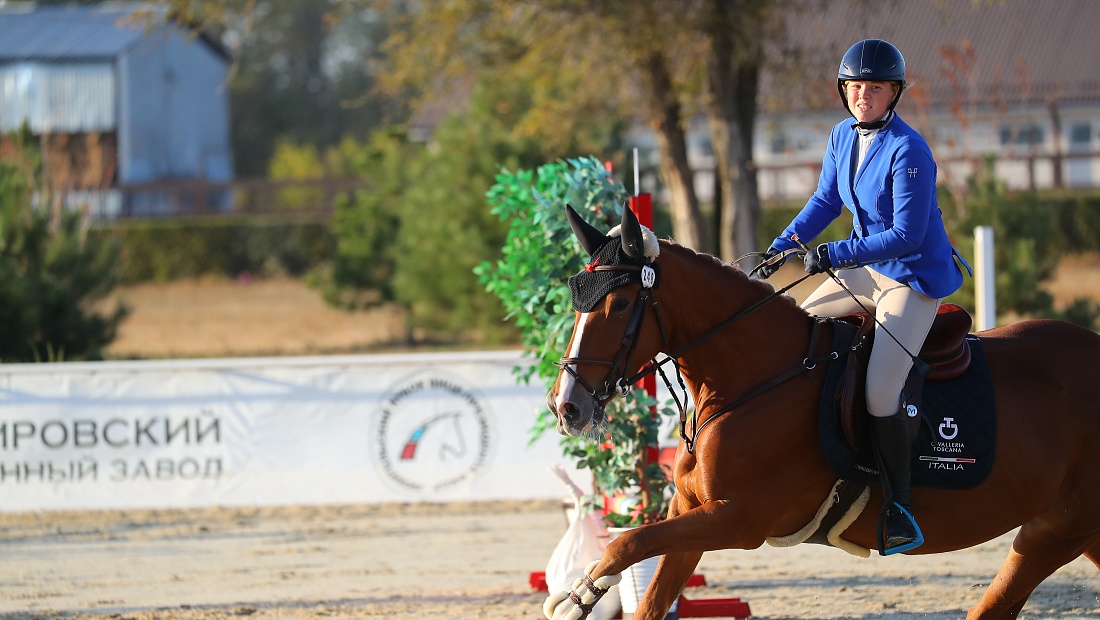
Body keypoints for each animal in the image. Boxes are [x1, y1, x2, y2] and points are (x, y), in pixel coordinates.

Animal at [545, 205, 1100, 620]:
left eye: (619, 305)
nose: (567, 406)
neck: (750, 376)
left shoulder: (738, 519)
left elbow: (626, 543)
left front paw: (578, 597)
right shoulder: (689, 513)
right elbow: (648, 585)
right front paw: (586, 593)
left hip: (1053, 533)